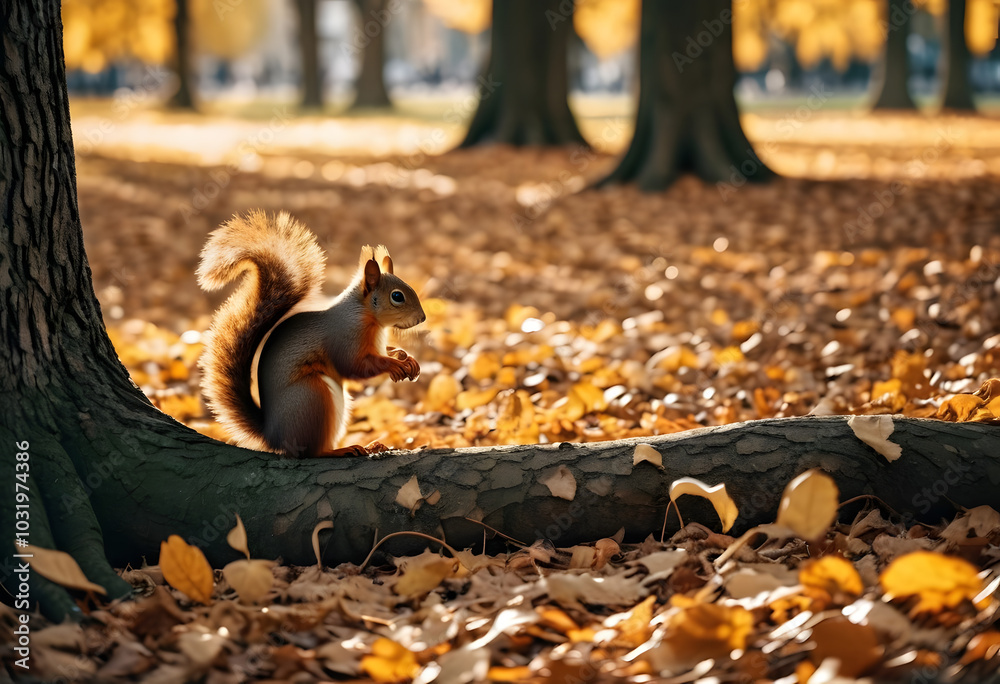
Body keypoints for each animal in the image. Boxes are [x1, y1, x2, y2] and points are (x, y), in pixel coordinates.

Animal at [197, 210, 425, 458]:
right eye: (397, 296)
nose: (422, 318)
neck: (367, 317)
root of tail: (274, 437)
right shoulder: (344, 337)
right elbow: (355, 366)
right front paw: (395, 365)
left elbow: (386, 352)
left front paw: (406, 357)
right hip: (312, 396)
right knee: (311, 452)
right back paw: (341, 450)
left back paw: (370, 445)